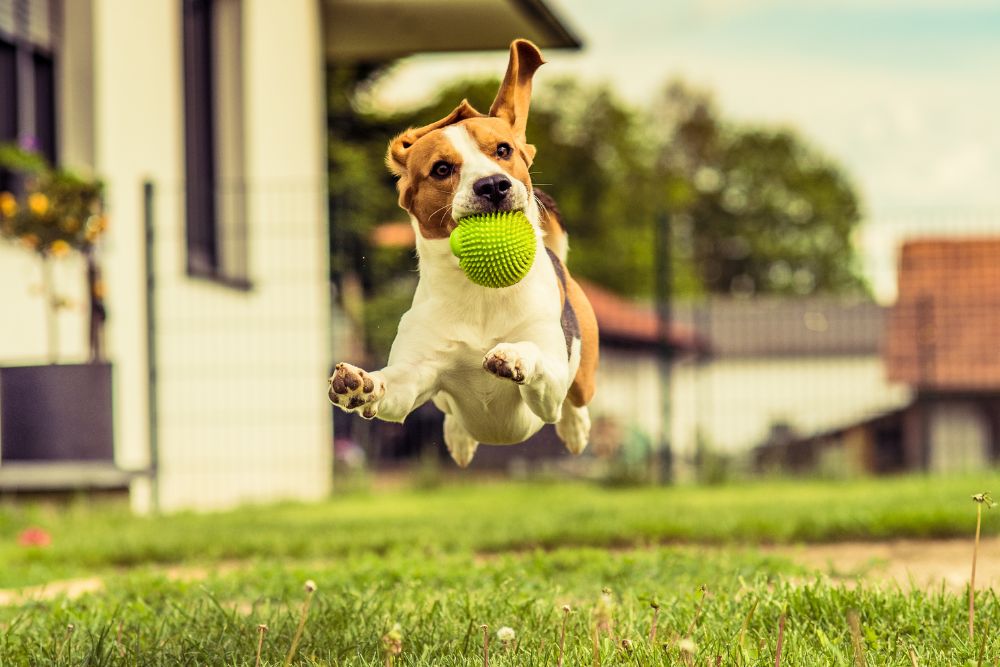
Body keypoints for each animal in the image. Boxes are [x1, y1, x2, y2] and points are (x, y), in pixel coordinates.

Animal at [328, 39, 596, 468]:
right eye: (441, 169)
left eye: (503, 150)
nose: (494, 185)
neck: (480, 291)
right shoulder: (415, 376)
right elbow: (391, 384)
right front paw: (362, 384)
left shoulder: (549, 386)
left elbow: (535, 357)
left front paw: (514, 355)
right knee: (452, 416)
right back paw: (460, 438)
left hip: (582, 375)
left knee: (576, 401)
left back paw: (574, 429)